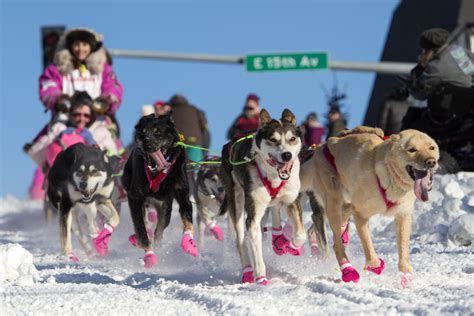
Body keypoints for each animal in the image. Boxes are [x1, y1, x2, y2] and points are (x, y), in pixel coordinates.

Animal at [302, 126, 438, 286]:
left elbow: (403, 247)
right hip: (333, 202)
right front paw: (374, 264)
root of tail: (320, 147)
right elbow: (367, 243)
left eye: (431, 147)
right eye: (412, 149)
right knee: (337, 244)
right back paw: (348, 269)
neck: (389, 174)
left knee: (338, 234)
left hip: (346, 204)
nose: (431, 161)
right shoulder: (361, 213)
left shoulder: (403, 216)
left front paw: (405, 273)